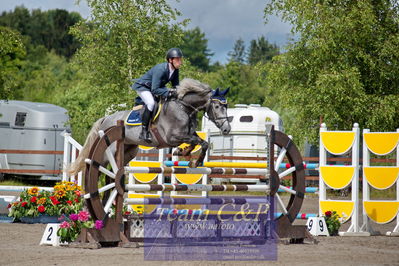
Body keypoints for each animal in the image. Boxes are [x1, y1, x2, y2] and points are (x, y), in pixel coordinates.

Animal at [68, 78, 231, 176]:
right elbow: (199, 142)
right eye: (217, 106)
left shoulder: (188, 134)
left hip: (129, 150)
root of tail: (106, 118)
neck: (184, 108)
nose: (227, 129)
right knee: (96, 168)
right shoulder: (172, 137)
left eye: (226, 106)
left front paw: (183, 153)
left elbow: (199, 143)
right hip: (108, 152)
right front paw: (195, 162)